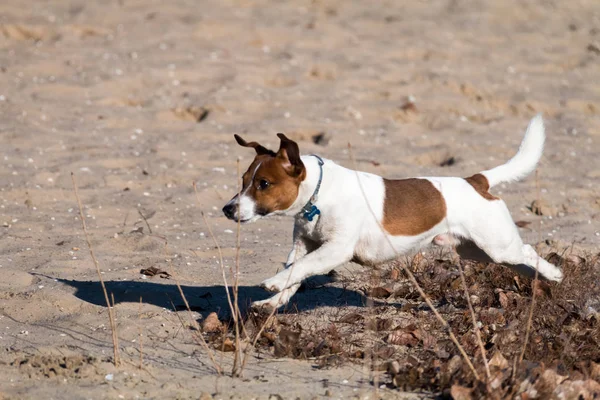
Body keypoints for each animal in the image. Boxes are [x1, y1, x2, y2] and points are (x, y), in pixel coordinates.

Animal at [220, 115, 564, 310]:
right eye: (244, 180)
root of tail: (475, 181)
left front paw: (272, 284)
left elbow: (300, 269)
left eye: (264, 183)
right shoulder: (303, 246)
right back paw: (543, 281)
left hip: (496, 245)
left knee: (528, 251)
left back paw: (555, 273)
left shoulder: (335, 250)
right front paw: (272, 302)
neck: (319, 194)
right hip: (479, 251)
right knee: (522, 262)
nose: (227, 209)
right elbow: (295, 273)